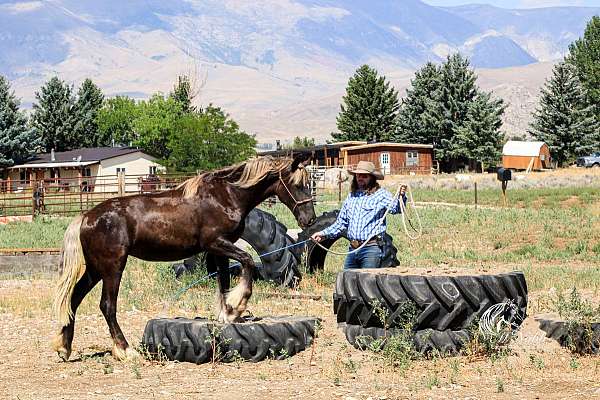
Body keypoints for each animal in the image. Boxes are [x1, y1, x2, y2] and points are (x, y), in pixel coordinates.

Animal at [52, 152, 316, 360]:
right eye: (298, 184)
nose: (309, 219)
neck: (226, 195)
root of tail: (86, 217)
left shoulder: (219, 250)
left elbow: (223, 281)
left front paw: (227, 314)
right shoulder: (217, 243)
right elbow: (248, 262)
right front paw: (237, 305)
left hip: (95, 269)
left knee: (74, 299)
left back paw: (64, 347)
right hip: (112, 267)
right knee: (107, 306)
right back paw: (125, 350)